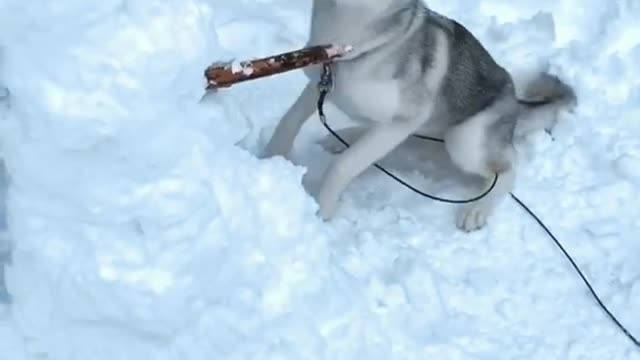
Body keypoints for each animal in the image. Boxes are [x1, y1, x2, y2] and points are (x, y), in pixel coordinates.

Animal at [260, 0, 576, 231]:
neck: (345, 49)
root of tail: (515, 100)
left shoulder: (406, 118)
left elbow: (343, 166)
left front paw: (321, 211)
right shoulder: (320, 81)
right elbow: (288, 121)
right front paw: (268, 158)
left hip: (464, 139)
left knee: (509, 167)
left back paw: (478, 208)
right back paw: (343, 137)